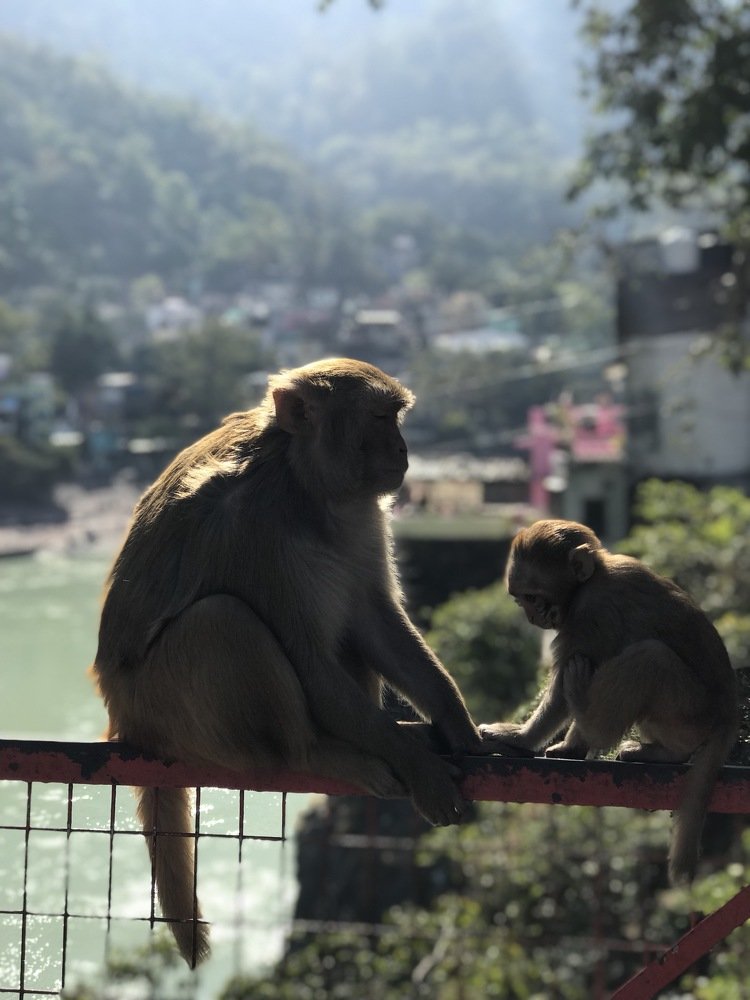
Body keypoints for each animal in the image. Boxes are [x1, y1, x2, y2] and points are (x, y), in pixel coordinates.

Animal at [92, 358, 481, 966]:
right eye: (380, 418)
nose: (403, 450)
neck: (302, 482)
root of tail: (124, 719)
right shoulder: (255, 528)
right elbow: (311, 660)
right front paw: (420, 768)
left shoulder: (360, 512)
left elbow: (374, 621)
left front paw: (457, 725)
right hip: (165, 707)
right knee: (223, 621)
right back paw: (318, 751)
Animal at [480, 518, 739, 885]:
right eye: (521, 600)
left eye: (533, 597)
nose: (532, 617)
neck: (593, 578)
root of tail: (729, 715)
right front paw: (570, 746)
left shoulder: (591, 613)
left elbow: (561, 689)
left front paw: (522, 737)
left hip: (690, 713)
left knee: (650, 657)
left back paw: (592, 724)